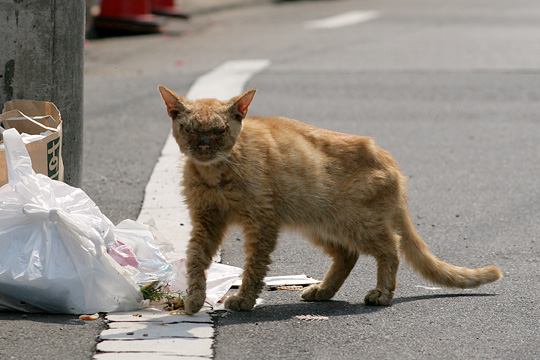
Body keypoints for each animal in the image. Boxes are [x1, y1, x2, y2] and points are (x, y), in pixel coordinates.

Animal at [156, 86, 502, 314]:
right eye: (189, 129)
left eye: (219, 130)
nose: (203, 146)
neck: (216, 172)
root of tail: (389, 160)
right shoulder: (207, 220)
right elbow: (196, 259)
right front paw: (194, 299)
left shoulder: (262, 222)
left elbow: (254, 266)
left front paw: (244, 300)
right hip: (320, 224)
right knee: (348, 256)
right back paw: (323, 290)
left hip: (355, 223)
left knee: (390, 248)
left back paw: (381, 293)